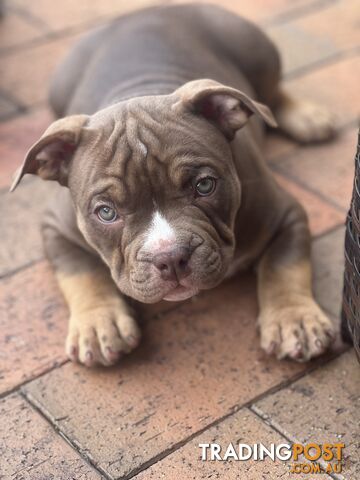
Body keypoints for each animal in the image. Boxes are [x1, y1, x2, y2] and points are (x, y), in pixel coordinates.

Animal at [11, 3, 338, 366]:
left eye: (205, 186)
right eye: (106, 213)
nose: (170, 257)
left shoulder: (286, 215)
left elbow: (285, 265)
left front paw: (296, 319)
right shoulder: (57, 227)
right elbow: (80, 272)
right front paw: (98, 323)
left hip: (257, 52)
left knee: (270, 95)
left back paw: (307, 117)